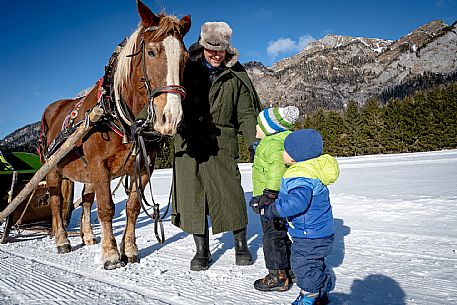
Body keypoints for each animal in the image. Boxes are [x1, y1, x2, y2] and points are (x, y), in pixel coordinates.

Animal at [38, 1, 190, 270]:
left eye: (184, 57)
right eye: (151, 52)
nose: (171, 118)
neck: (119, 115)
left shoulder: (142, 168)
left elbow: (132, 207)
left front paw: (129, 250)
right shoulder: (99, 165)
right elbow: (107, 208)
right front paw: (110, 254)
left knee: (86, 199)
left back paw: (87, 236)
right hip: (53, 168)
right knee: (56, 202)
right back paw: (62, 240)